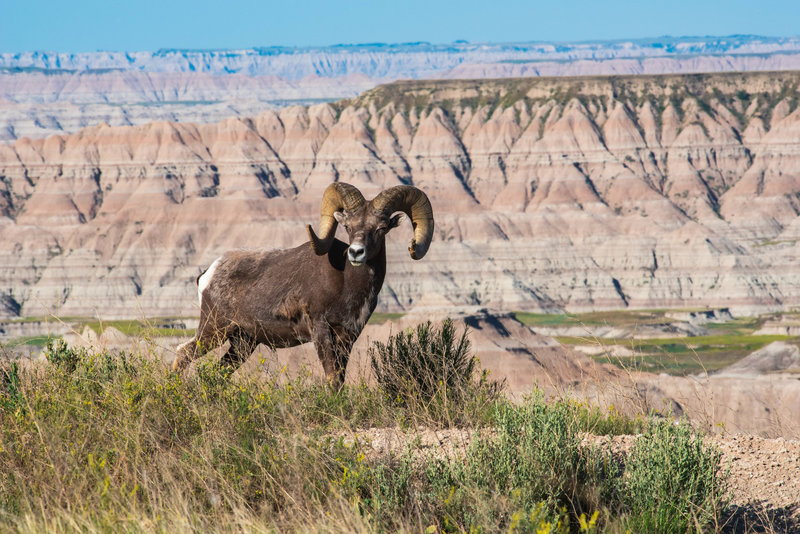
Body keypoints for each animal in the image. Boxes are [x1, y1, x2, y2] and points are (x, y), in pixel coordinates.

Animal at [174, 182, 434, 388]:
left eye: (381, 228)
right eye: (348, 227)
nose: (356, 253)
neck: (347, 285)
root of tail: (207, 274)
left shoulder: (347, 339)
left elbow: (340, 379)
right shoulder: (321, 330)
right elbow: (332, 379)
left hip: (242, 344)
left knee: (217, 372)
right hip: (214, 331)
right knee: (183, 353)